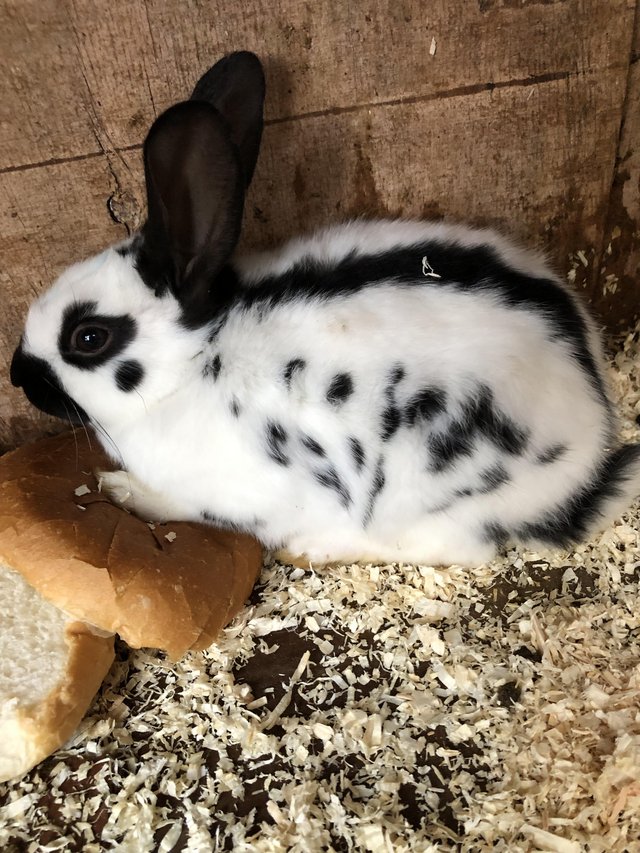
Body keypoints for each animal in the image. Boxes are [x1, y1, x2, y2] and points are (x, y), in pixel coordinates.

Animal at [10, 51, 640, 568]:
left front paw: (120, 491)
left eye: (88, 338)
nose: (19, 375)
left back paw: (316, 548)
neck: (193, 365)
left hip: (424, 492)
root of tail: (588, 458)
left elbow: (177, 505)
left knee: (454, 549)